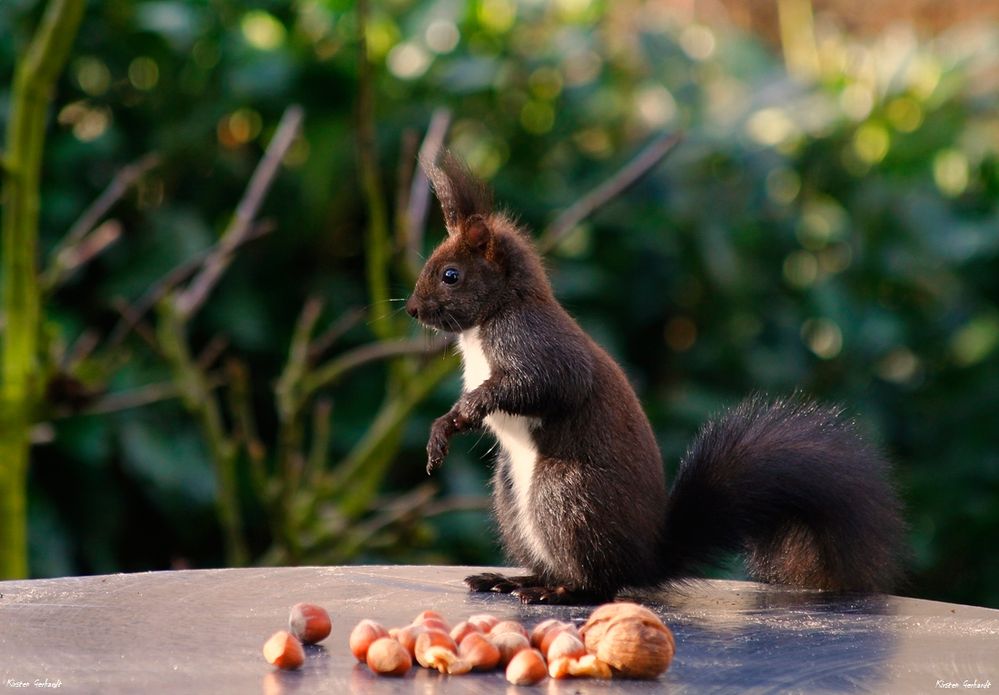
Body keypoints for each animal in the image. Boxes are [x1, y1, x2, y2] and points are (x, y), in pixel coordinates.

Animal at [404, 151, 908, 604]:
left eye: (451, 275)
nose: (411, 310)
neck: (491, 317)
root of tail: (645, 560)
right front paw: (442, 428)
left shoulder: (535, 341)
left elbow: (547, 383)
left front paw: (468, 409)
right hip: (510, 493)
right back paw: (511, 580)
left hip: (565, 494)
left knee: (599, 584)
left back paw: (559, 592)